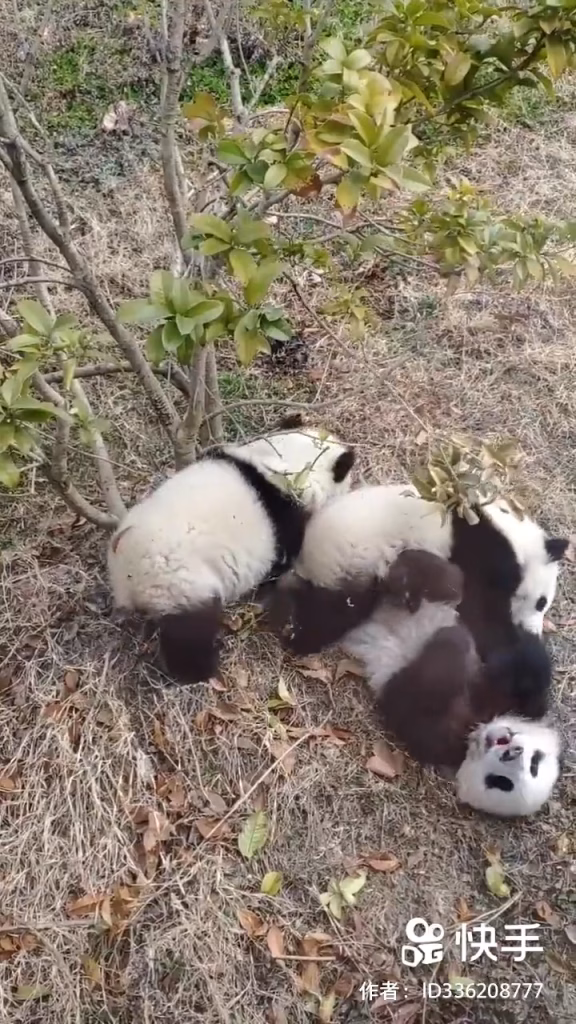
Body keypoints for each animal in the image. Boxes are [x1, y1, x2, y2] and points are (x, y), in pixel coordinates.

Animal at [108, 418, 355, 684]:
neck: (287, 461)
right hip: (176, 582)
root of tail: (128, 580)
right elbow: (280, 564)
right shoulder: (285, 520)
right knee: (189, 631)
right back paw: (201, 668)